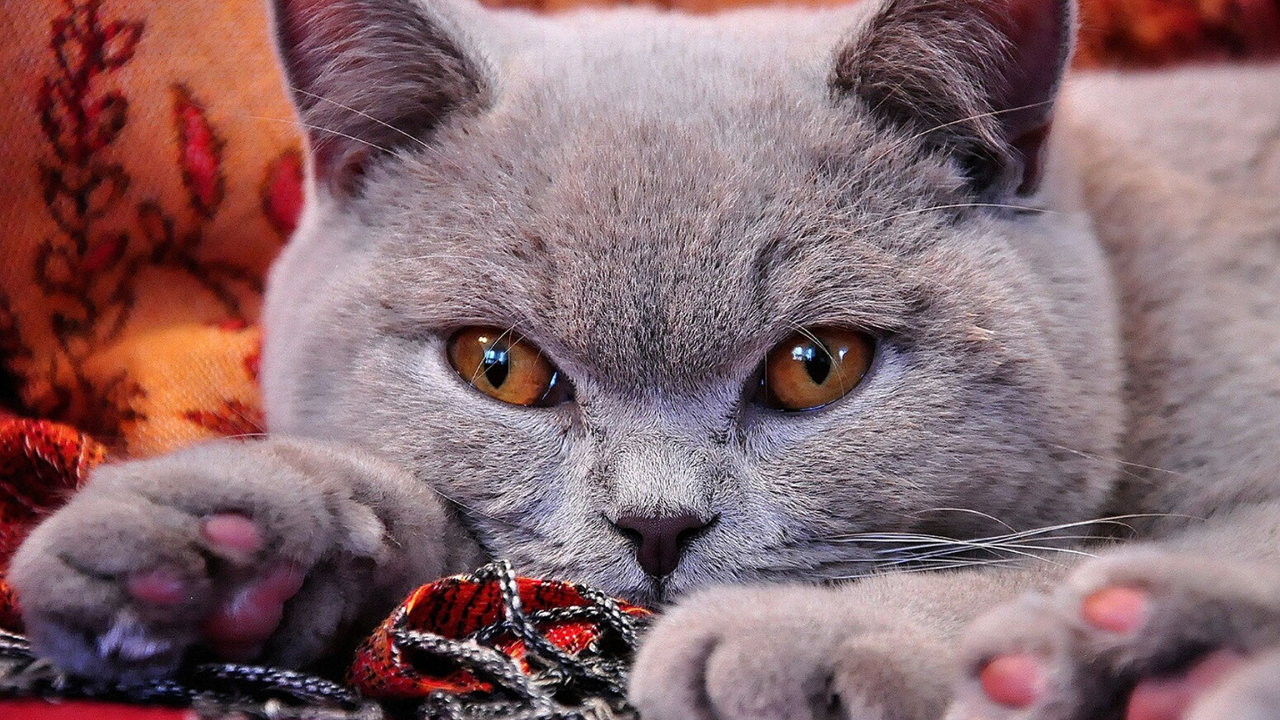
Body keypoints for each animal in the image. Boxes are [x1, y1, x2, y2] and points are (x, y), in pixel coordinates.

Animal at [10, 0, 1280, 712]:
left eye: (815, 364)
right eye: (498, 366)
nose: (657, 527)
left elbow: (1040, 556)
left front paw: (816, 635)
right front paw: (213, 544)